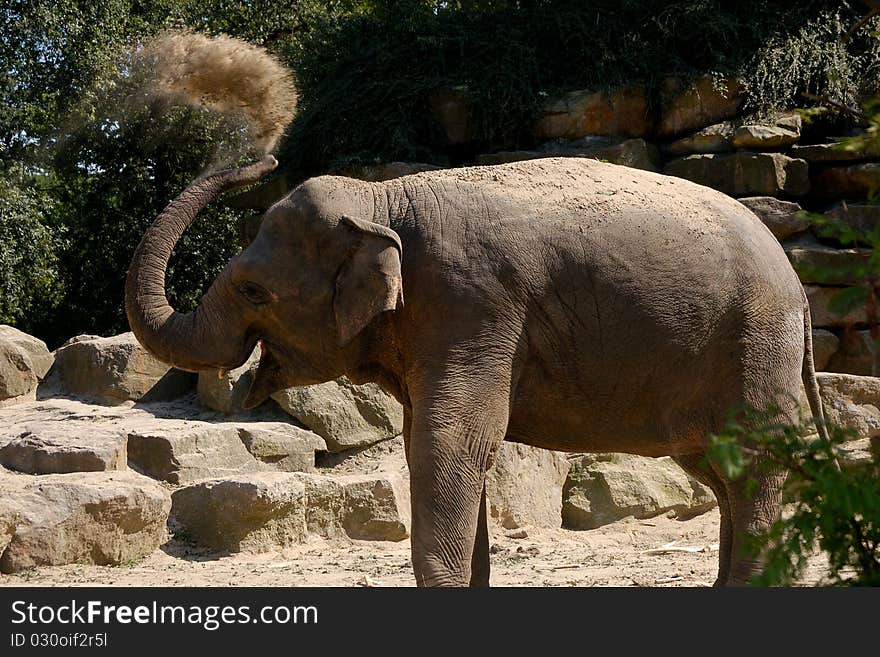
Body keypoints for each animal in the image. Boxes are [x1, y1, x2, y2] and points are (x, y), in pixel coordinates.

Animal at [127, 152, 828, 584]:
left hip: (754, 343)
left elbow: (453, 443)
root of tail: (796, 284)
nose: (266, 160)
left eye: (253, 292)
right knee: (720, 470)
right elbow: (435, 444)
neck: (382, 200)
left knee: (755, 466)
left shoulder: (472, 303)